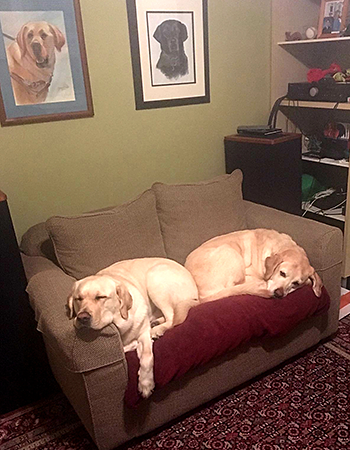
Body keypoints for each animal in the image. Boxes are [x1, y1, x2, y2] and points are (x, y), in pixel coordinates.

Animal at [67, 256, 198, 398]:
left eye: (101, 297)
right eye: (78, 299)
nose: (82, 317)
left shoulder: (144, 334)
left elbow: (147, 357)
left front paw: (146, 384)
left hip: (155, 279)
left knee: (172, 317)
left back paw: (157, 329)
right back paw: (156, 323)